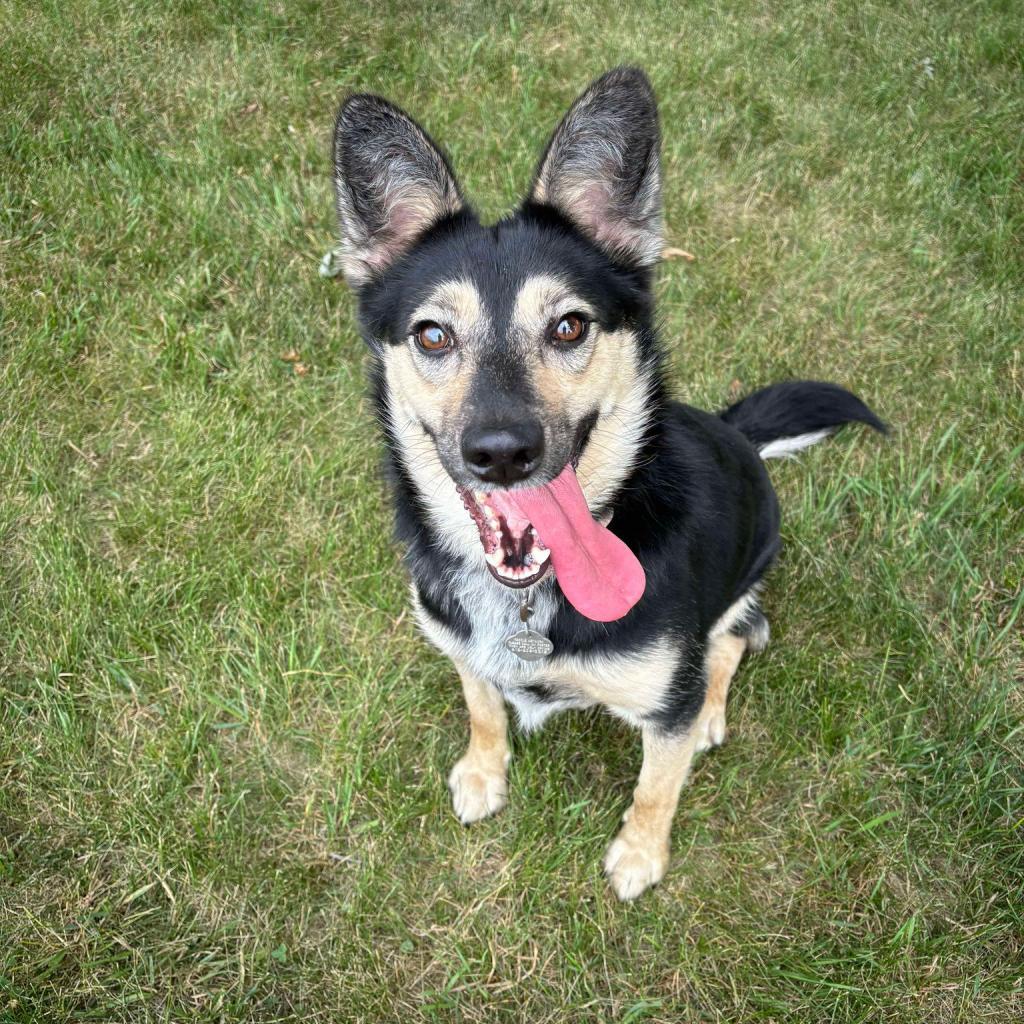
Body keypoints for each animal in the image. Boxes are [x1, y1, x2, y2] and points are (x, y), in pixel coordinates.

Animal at [327, 68, 880, 897]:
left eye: (569, 326)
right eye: (432, 335)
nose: (501, 453)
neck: (529, 600)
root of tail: (739, 434)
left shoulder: (665, 702)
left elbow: (658, 782)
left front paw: (639, 856)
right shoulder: (462, 649)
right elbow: (482, 704)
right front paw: (483, 773)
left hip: (748, 575)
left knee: (735, 639)